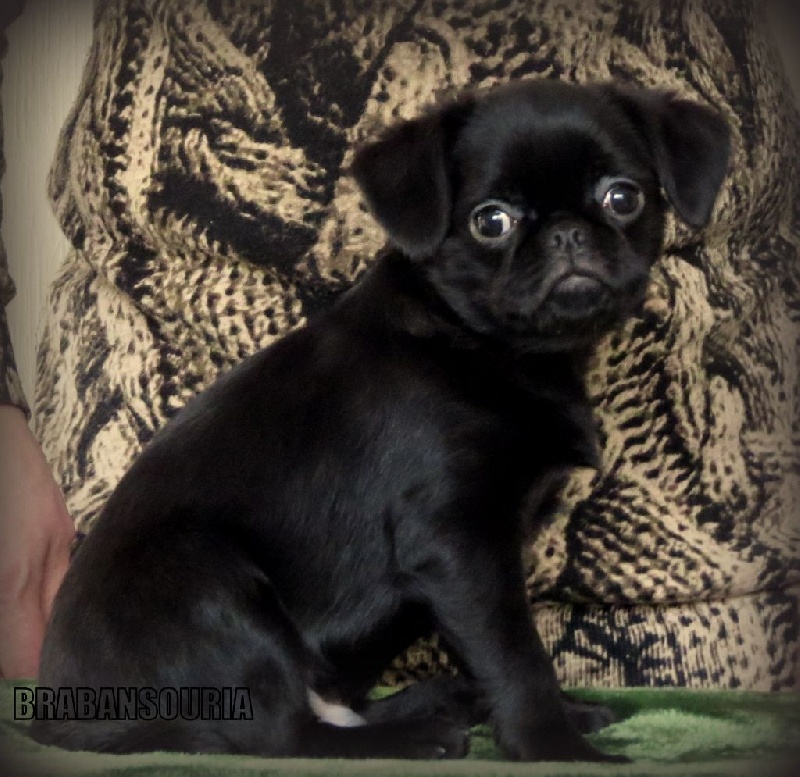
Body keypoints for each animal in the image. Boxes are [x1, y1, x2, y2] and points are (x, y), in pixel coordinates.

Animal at [32, 79, 730, 762]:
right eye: (491, 221)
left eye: (623, 197)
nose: (567, 233)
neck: (485, 344)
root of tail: (67, 719)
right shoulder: (458, 542)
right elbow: (516, 653)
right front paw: (553, 746)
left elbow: (501, 651)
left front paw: (566, 714)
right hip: (209, 586)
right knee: (284, 737)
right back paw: (417, 734)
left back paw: (440, 703)